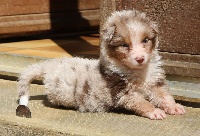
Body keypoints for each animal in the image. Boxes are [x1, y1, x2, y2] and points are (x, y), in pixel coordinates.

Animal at [16, 9, 185, 120]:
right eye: (124, 45)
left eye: (145, 40)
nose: (140, 59)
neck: (138, 72)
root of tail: (50, 65)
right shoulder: (123, 93)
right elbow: (141, 102)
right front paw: (154, 111)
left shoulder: (155, 82)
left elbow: (165, 96)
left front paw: (174, 107)